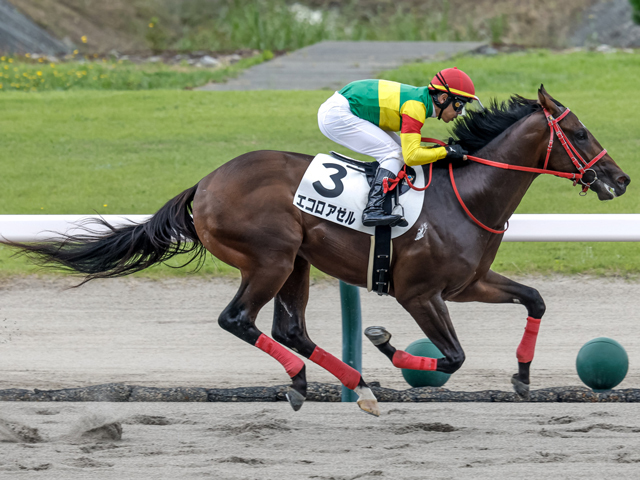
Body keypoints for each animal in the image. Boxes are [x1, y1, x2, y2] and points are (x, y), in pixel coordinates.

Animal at [8, 87, 632, 416]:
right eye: (579, 131)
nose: (620, 179)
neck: (466, 195)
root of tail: (203, 184)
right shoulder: (418, 292)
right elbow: (451, 357)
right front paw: (385, 345)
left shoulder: (469, 284)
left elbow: (535, 299)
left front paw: (523, 377)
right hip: (272, 257)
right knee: (238, 319)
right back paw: (326, 382)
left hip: (299, 263)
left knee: (290, 329)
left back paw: (349, 387)